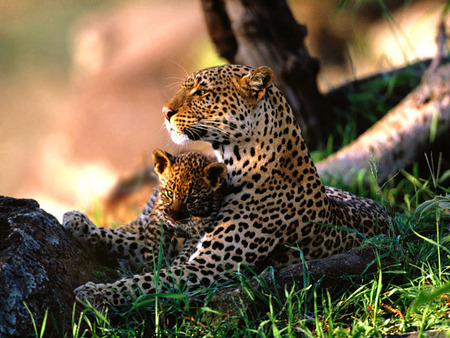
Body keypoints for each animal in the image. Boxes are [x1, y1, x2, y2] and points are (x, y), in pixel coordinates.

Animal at [71, 64, 390, 308]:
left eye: (201, 92)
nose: (164, 112)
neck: (235, 164)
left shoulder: (208, 267)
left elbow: (147, 280)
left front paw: (96, 292)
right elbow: (126, 240)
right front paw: (78, 222)